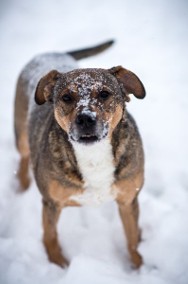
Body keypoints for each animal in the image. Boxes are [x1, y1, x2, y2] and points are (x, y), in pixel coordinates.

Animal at [14, 40, 145, 268]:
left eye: (104, 94)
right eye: (66, 97)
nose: (85, 118)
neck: (93, 155)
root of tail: (54, 52)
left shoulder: (128, 201)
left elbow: (132, 239)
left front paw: (139, 266)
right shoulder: (51, 204)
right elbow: (50, 237)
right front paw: (58, 264)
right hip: (20, 135)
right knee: (23, 158)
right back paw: (22, 185)